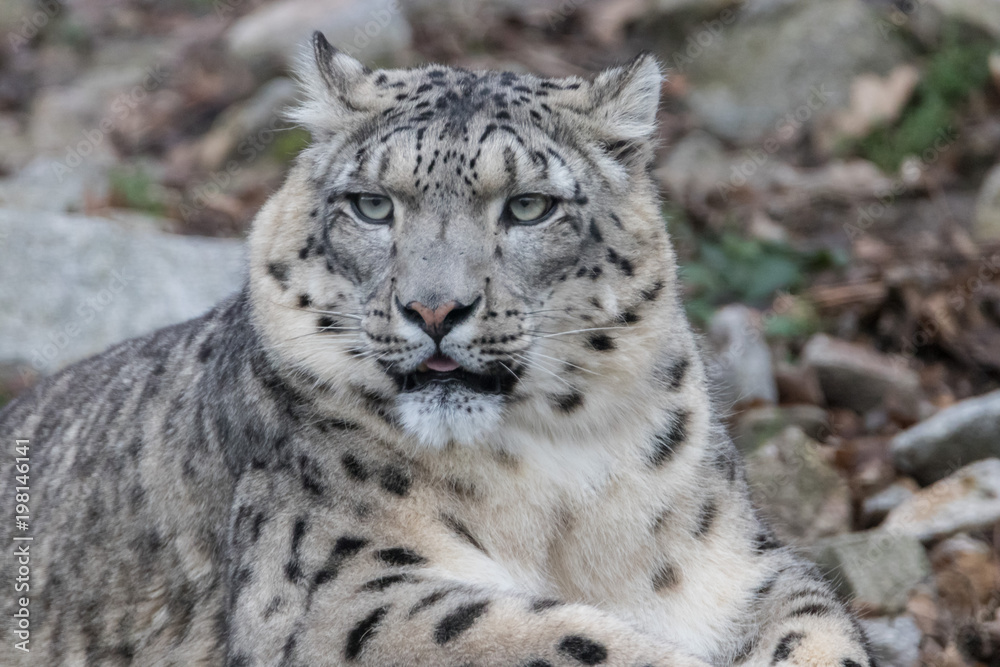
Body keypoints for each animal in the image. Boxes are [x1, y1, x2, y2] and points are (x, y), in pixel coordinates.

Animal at [0, 32, 877, 667]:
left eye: (528, 206)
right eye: (371, 205)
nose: (433, 308)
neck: (558, 482)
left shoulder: (732, 564)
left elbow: (816, 621)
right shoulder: (338, 587)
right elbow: (548, 638)